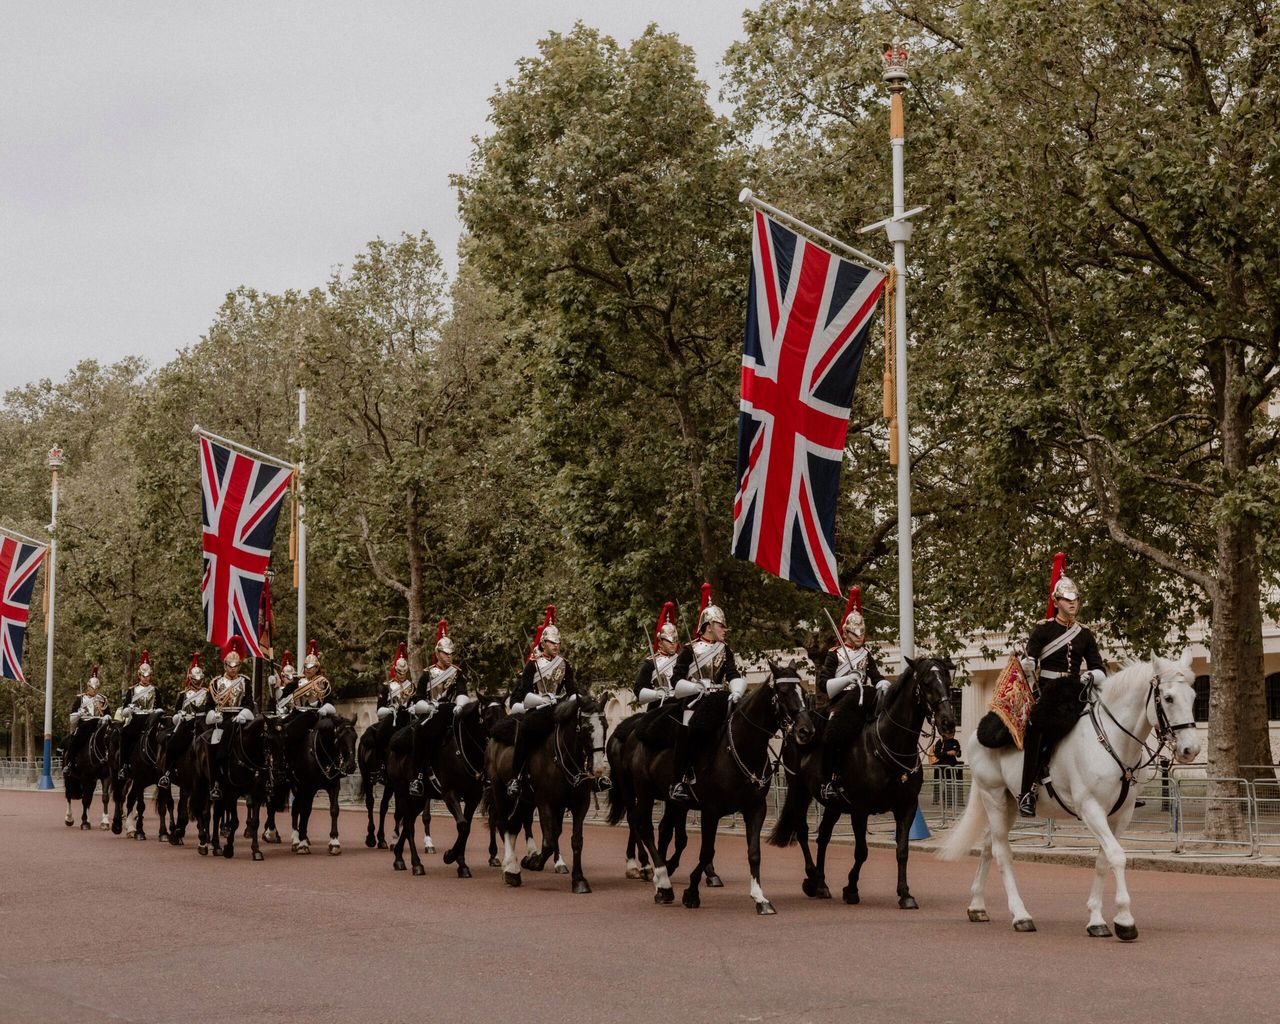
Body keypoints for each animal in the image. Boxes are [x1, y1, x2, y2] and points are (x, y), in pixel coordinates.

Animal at [488, 691, 609, 890]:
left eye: (605, 726)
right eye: (585, 728)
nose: (598, 769)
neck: (562, 759)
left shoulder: (578, 804)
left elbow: (575, 840)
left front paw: (579, 879)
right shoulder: (545, 802)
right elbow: (549, 841)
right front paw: (534, 862)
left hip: (523, 800)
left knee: (515, 825)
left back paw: (510, 866)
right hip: (499, 791)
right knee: (503, 823)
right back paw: (511, 869)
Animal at [606, 665, 808, 911]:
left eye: (803, 692)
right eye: (783, 691)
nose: (806, 730)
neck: (740, 748)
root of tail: (635, 730)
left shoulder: (755, 809)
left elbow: (753, 852)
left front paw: (760, 897)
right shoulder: (710, 811)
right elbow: (705, 850)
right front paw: (692, 892)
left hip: (670, 800)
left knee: (661, 829)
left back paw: (658, 875)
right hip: (640, 791)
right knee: (642, 826)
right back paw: (659, 880)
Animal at [762, 655, 957, 906]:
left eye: (947, 680)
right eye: (925, 682)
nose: (948, 723)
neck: (889, 746)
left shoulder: (907, 807)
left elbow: (902, 851)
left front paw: (905, 894)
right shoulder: (860, 809)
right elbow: (861, 851)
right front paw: (851, 889)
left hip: (833, 804)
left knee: (823, 836)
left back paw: (822, 883)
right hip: (799, 791)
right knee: (804, 831)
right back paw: (812, 879)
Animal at [942, 652, 1198, 942]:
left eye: (1193, 695)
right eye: (1168, 698)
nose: (1191, 749)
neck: (1112, 741)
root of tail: (978, 732)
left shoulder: (1121, 815)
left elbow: (1103, 861)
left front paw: (1097, 919)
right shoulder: (1090, 809)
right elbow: (1117, 856)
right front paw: (1125, 919)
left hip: (1009, 803)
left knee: (988, 845)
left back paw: (977, 906)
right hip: (993, 795)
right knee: (1001, 852)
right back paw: (1021, 915)